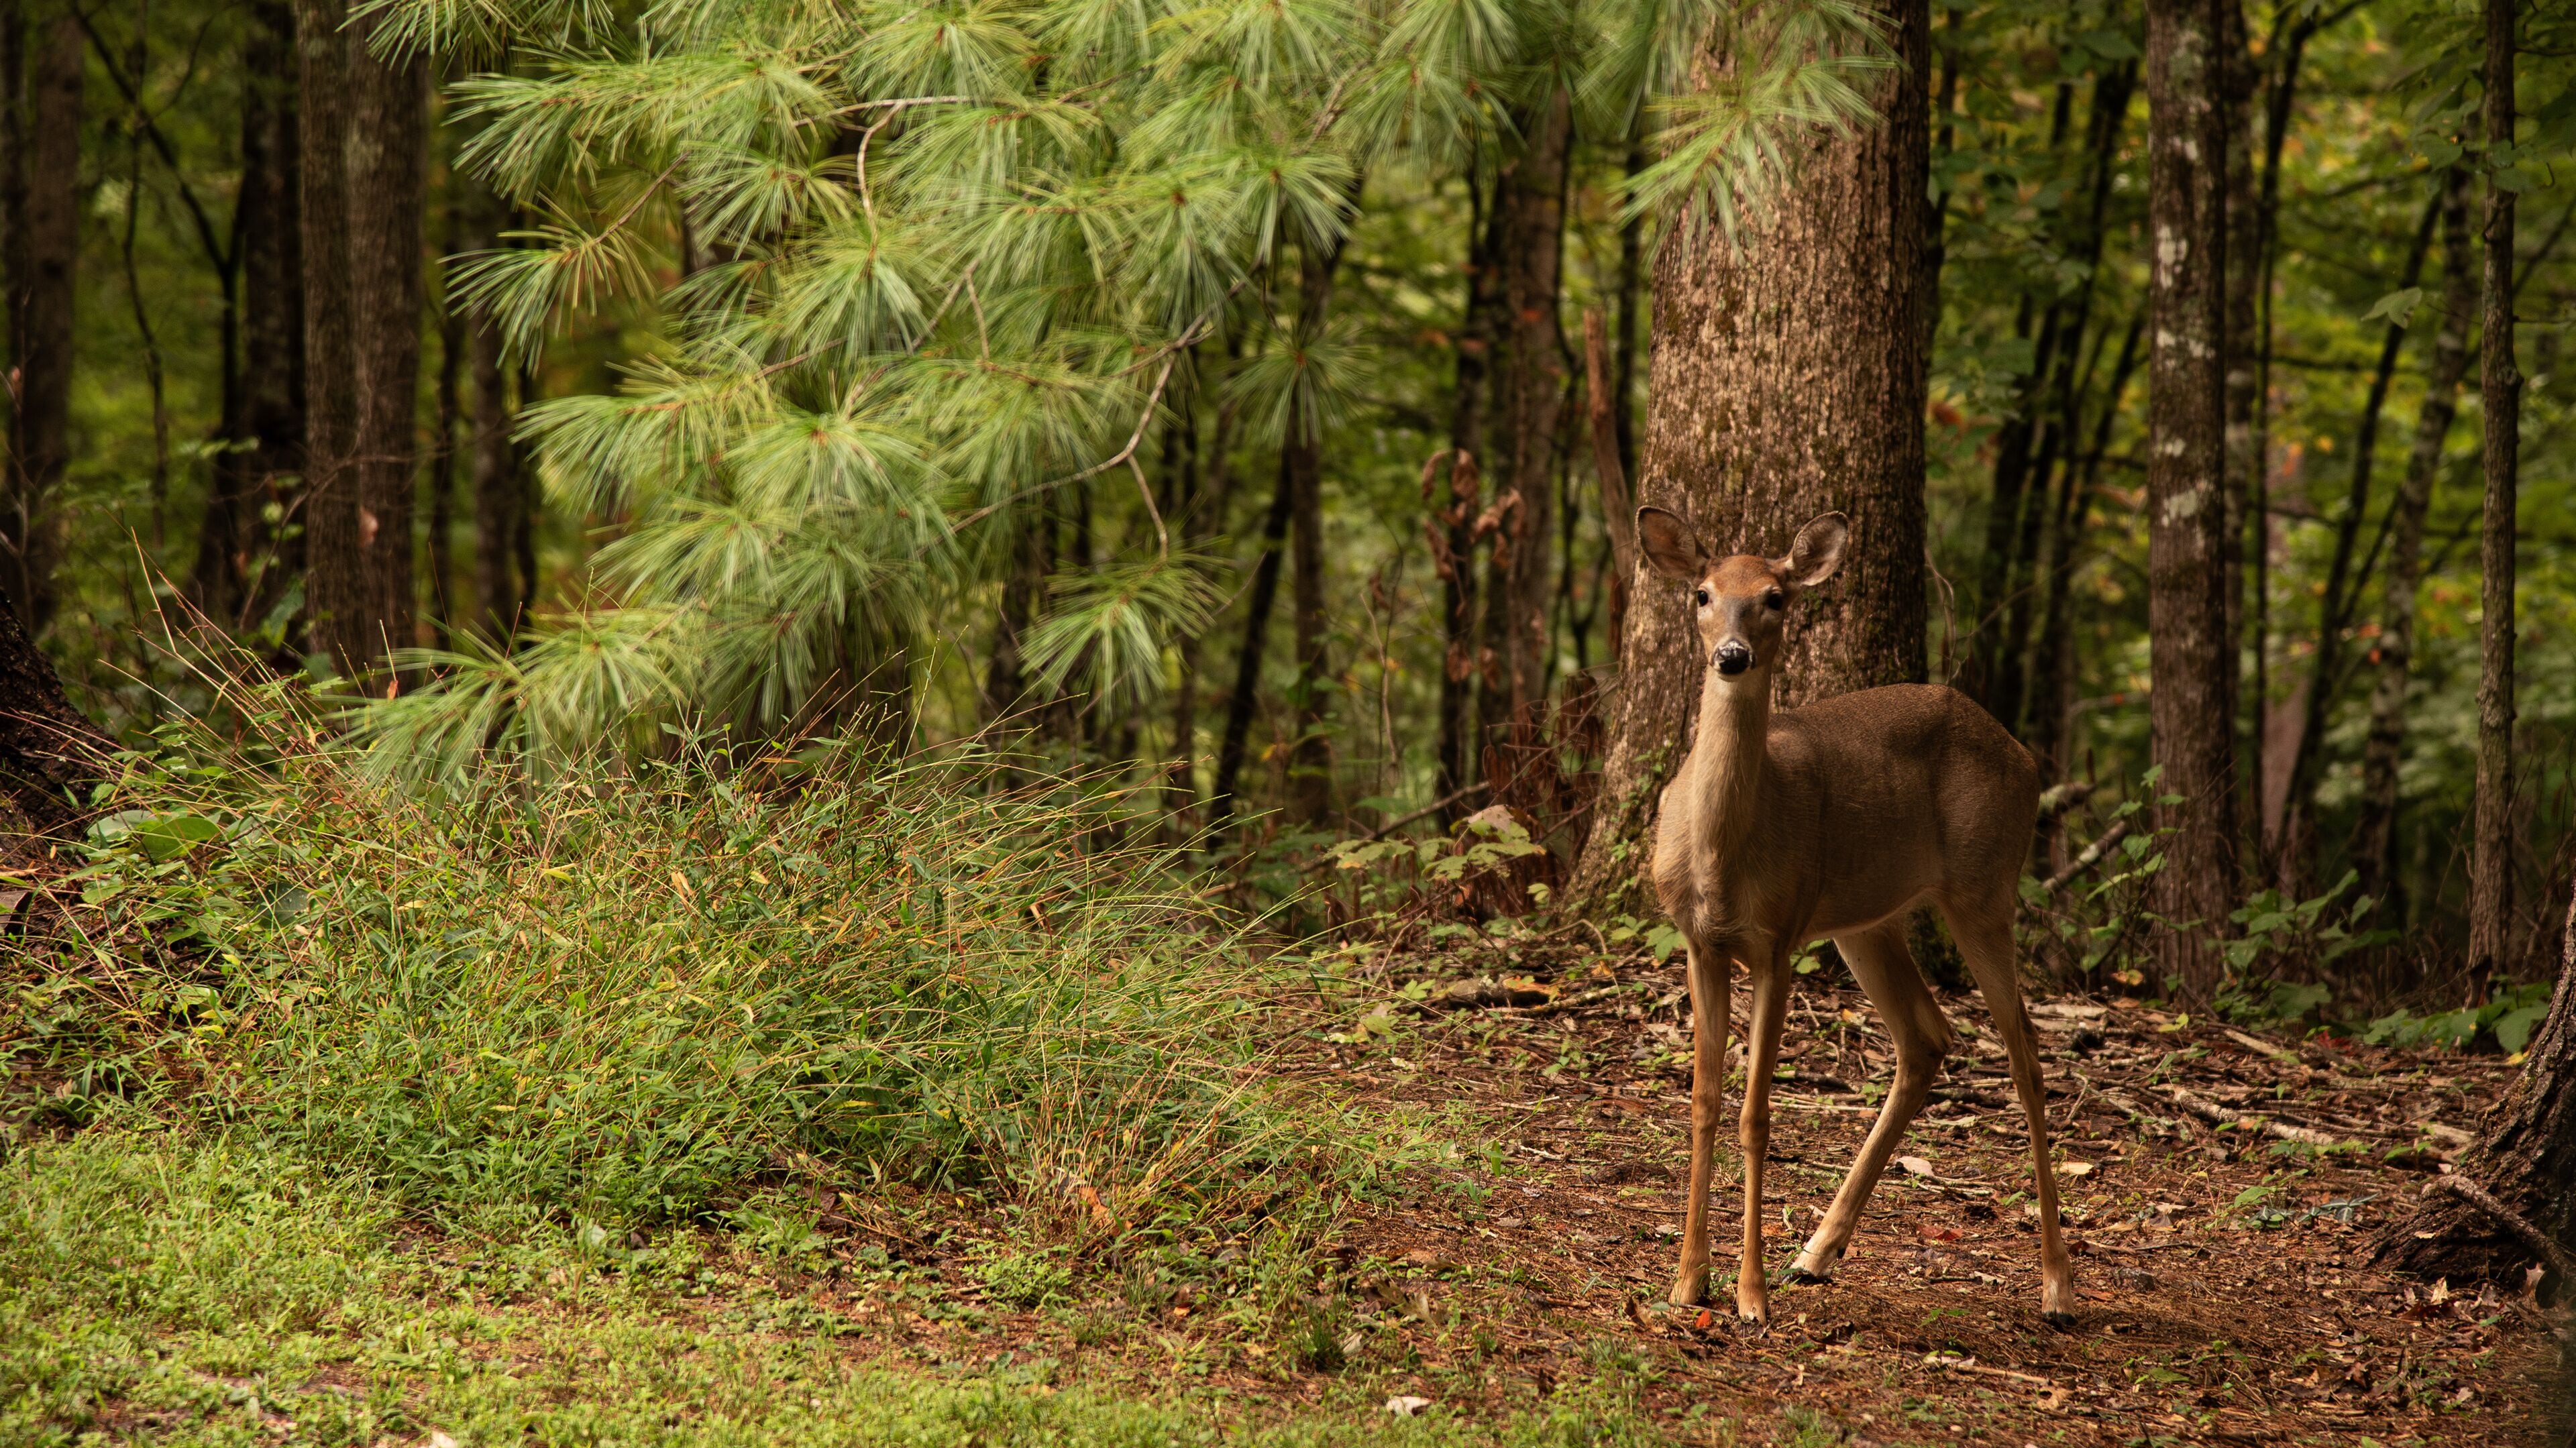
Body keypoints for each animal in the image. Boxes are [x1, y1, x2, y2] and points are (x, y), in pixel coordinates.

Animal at [1633, 505, 2072, 1329]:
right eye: (1703, 594)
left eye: (1775, 597)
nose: (1733, 656)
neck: (1724, 854)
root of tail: (2024, 754)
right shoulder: (1700, 940)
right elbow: (1704, 1099)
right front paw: (1687, 1280)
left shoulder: (1778, 938)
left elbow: (1756, 1112)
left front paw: (1749, 1295)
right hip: (1867, 923)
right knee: (1929, 1037)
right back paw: (1816, 1251)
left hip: (1984, 888)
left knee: (2027, 1054)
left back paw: (2058, 1284)